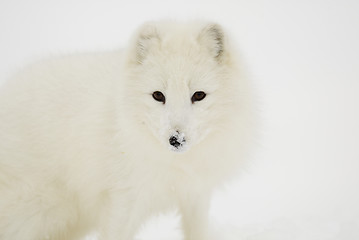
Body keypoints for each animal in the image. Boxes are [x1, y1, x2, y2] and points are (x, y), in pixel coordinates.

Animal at [0, 21, 253, 240]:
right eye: (158, 95)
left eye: (199, 95)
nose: (176, 139)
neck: (176, 164)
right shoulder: (123, 198)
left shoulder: (195, 192)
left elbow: (197, 231)